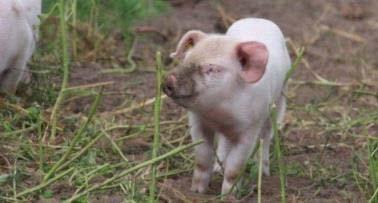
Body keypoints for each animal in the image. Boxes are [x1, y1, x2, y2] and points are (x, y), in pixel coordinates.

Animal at [162, 18, 290, 194]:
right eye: (186, 60)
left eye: (211, 68)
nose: (169, 80)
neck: (219, 113)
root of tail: (258, 19)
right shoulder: (197, 123)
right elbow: (202, 159)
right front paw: (197, 192)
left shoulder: (249, 130)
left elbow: (234, 167)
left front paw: (227, 195)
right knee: (224, 142)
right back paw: (218, 169)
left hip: (278, 102)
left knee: (266, 137)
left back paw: (263, 172)